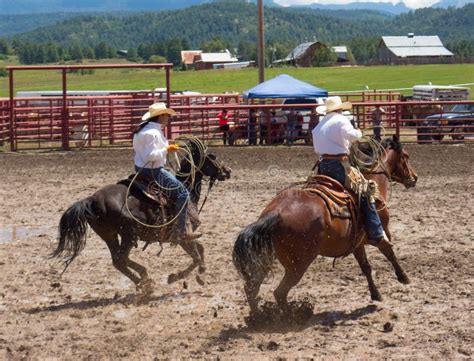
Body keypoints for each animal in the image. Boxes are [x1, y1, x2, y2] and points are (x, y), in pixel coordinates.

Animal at [51, 139, 231, 292]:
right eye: (213, 156)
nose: (228, 171)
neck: (187, 190)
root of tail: (90, 200)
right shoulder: (183, 236)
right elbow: (196, 255)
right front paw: (179, 276)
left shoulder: (184, 237)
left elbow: (200, 250)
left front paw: (198, 272)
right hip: (129, 234)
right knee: (121, 259)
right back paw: (145, 280)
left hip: (109, 235)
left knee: (118, 260)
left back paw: (143, 280)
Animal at [234, 136, 418, 316]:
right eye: (406, 156)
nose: (414, 178)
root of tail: (275, 214)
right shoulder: (381, 232)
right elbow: (390, 252)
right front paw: (404, 277)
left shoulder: (357, 244)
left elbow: (366, 267)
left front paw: (376, 294)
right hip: (298, 265)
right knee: (279, 292)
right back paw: (291, 316)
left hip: (265, 259)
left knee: (251, 288)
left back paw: (259, 317)